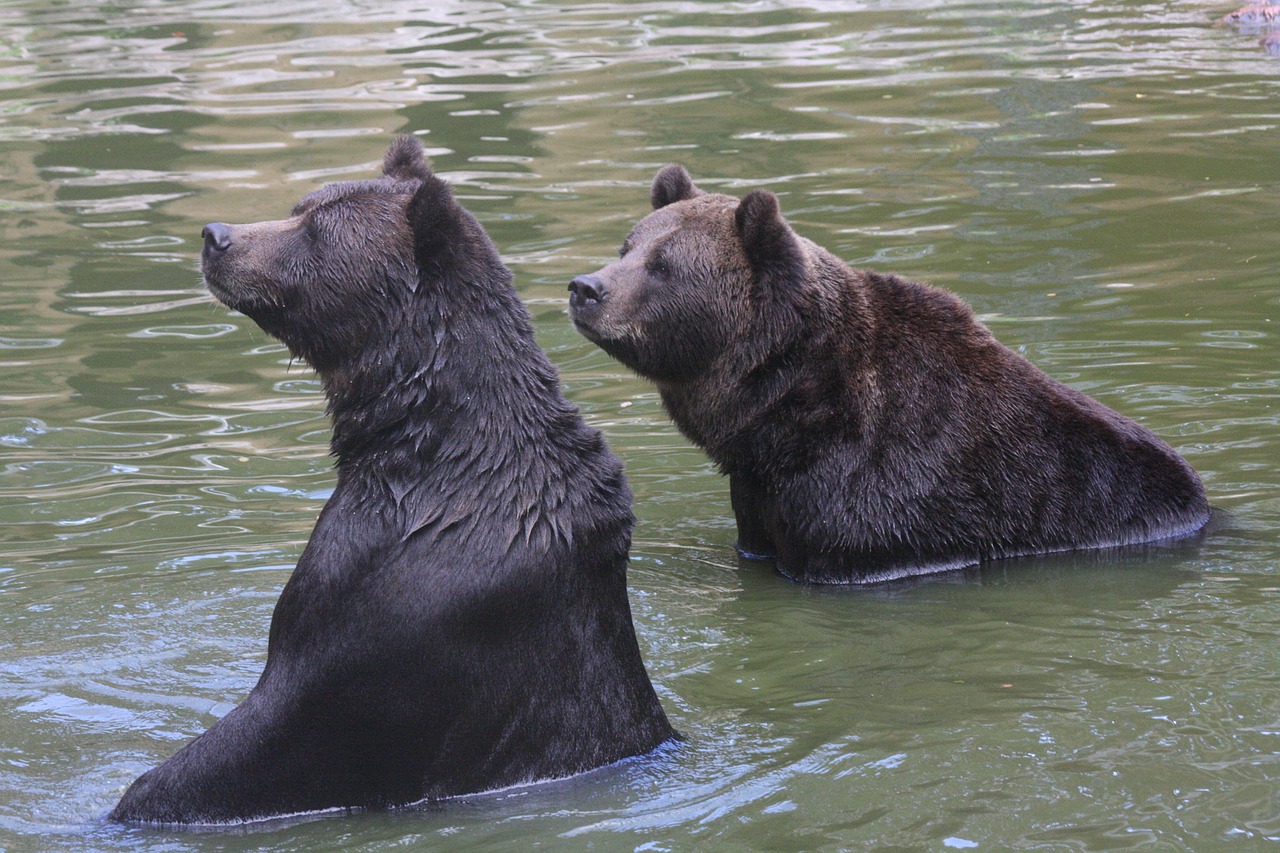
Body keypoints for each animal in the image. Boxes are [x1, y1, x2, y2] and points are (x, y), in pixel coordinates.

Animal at [111, 136, 675, 819]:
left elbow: (269, 732)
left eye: (316, 230)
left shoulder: (388, 605)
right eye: (301, 205)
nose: (216, 235)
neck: (424, 445)